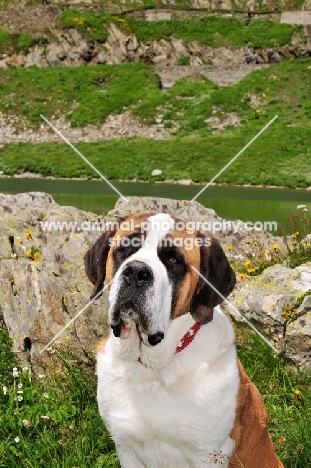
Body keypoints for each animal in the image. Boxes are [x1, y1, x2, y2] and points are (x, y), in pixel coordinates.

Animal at [84, 213, 284, 468]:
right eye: (125, 248)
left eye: (173, 259)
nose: (136, 272)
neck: (151, 371)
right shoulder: (126, 447)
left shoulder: (209, 455)